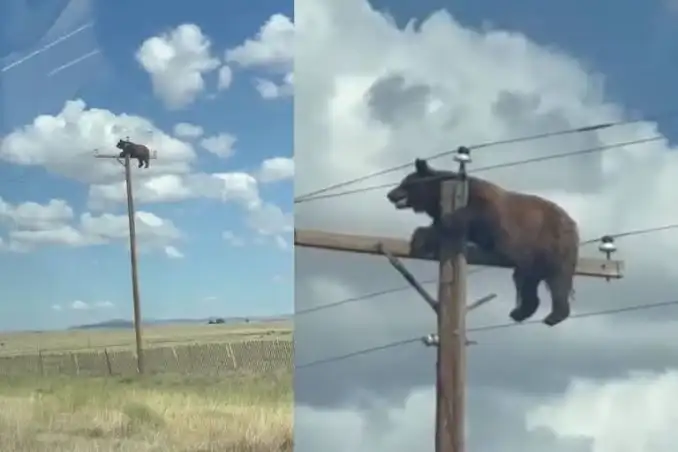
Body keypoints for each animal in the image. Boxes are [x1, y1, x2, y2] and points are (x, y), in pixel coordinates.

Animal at [386, 158, 580, 327]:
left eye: (404, 182)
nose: (389, 194)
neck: (436, 197)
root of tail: (572, 224)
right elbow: (437, 229)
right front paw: (419, 239)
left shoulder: (485, 205)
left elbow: (469, 215)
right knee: (532, 280)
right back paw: (524, 313)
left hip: (549, 243)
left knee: (554, 279)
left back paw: (551, 314)